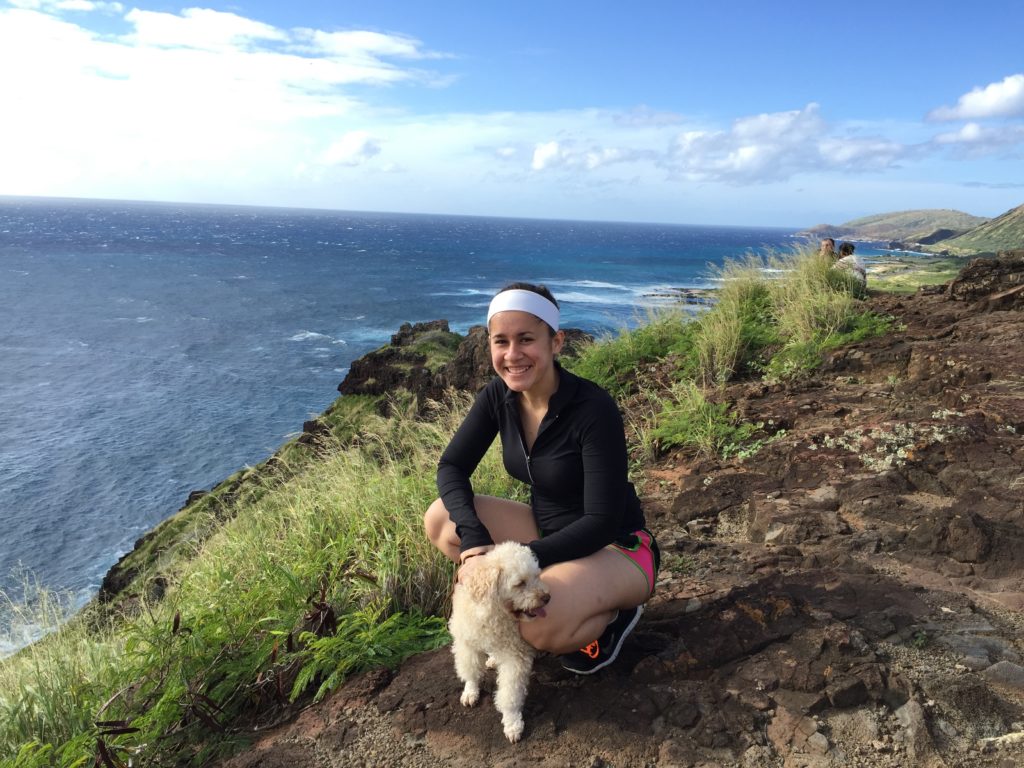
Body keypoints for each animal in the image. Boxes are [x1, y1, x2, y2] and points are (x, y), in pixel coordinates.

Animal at [452, 540, 552, 745]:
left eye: (537, 576)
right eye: (520, 583)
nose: (547, 597)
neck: (494, 614)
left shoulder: (515, 658)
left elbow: (510, 694)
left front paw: (512, 723)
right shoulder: (467, 644)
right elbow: (470, 671)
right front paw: (470, 691)